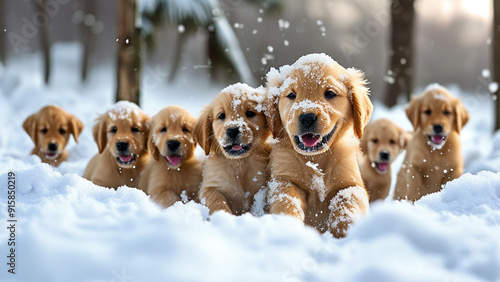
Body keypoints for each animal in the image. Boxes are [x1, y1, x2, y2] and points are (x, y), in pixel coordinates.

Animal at [195, 82, 274, 215]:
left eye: (250, 113)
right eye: (221, 115)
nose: (232, 130)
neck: (239, 163)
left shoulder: (262, 188)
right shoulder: (210, 187)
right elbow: (217, 202)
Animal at [268, 53, 374, 238]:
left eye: (330, 93)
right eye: (291, 95)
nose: (307, 117)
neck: (315, 157)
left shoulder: (351, 180)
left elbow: (349, 197)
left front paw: (345, 225)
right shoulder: (284, 177)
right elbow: (286, 198)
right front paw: (287, 225)